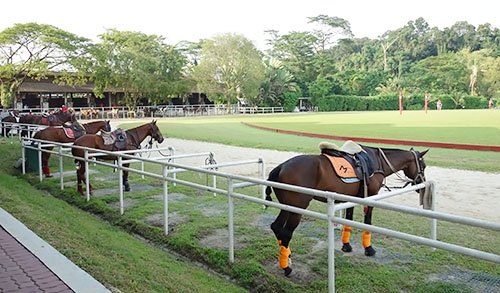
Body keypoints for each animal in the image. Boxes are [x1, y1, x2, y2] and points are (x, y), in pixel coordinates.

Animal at [264, 140, 428, 274]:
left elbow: (348, 221)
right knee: (286, 232)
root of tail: (280, 167)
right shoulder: (370, 197)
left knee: (276, 227)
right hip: (296, 209)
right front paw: (368, 248)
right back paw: (286, 267)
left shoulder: (352, 199)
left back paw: (287, 256)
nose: (421, 183)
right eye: (424, 166)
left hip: (286, 207)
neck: (378, 161)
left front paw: (346, 246)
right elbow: (367, 222)